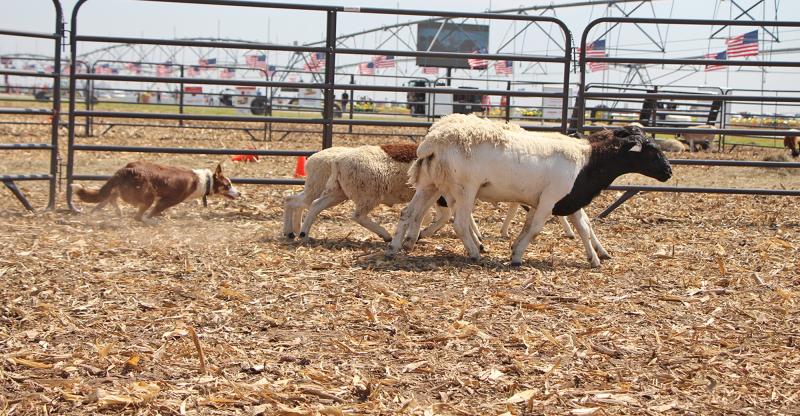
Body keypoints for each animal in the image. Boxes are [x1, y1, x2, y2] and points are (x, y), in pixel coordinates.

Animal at [72, 161, 238, 223]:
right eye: (227, 185)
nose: (240, 194)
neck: (205, 180)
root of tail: (127, 169)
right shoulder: (168, 200)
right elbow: (156, 210)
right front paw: (153, 217)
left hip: (125, 190)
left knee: (110, 197)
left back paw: (115, 212)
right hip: (148, 195)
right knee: (137, 216)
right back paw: (146, 220)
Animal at [384, 114, 672, 266]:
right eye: (652, 151)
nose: (669, 172)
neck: (587, 161)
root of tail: (432, 141)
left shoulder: (568, 198)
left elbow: (582, 227)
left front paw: (595, 259)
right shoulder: (550, 199)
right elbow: (534, 228)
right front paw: (516, 255)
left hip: (430, 184)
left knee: (409, 214)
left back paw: (396, 247)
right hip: (465, 188)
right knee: (460, 222)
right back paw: (475, 253)